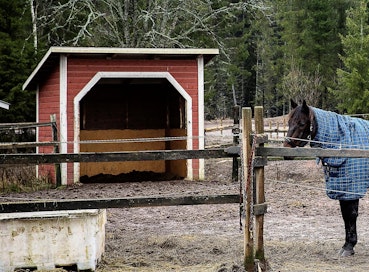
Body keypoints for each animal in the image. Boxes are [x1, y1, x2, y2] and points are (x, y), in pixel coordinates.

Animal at [282, 99, 368, 256]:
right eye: (289, 122)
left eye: (302, 123)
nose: (286, 149)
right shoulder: (341, 188)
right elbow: (345, 215)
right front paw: (347, 245)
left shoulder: (351, 188)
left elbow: (351, 215)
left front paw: (349, 247)